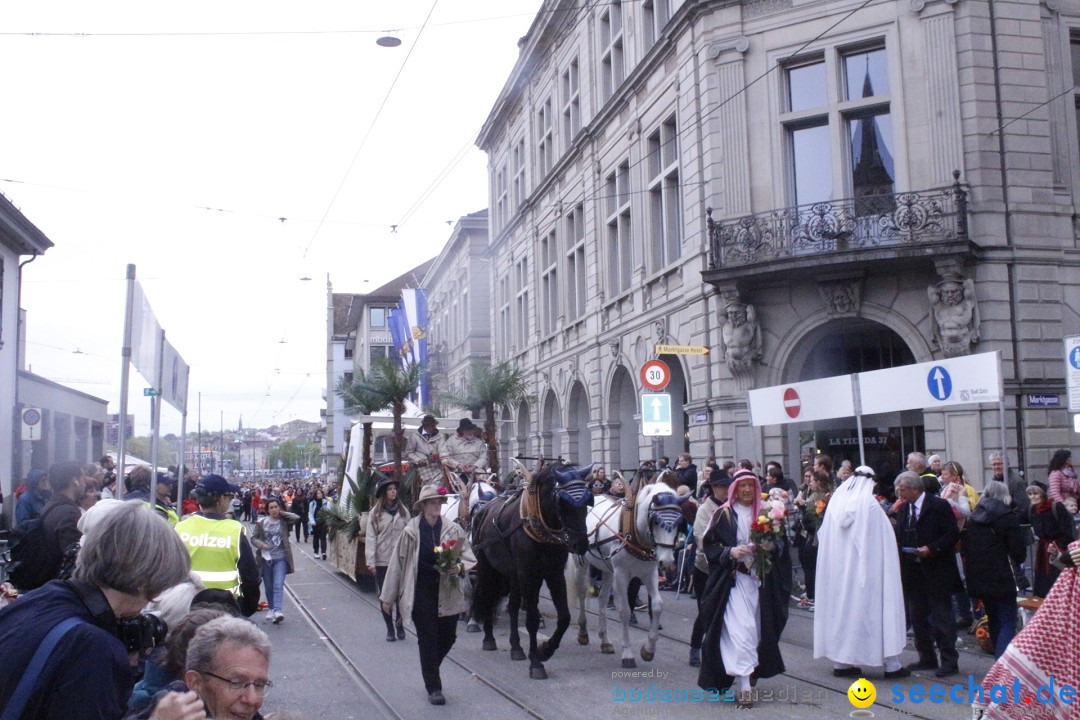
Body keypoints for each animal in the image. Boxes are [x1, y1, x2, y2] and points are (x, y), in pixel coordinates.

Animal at [570, 481, 686, 669]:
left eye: (679, 521)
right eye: (655, 521)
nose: (667, 561)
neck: (636, 535)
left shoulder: (650, 573)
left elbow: (657, 605)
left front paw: (648, 650)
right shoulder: (621, 574)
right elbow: (624, 611)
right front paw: (627, 654)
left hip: (607, 569)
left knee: (602, 599)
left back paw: (605, 640)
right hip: (581, 562)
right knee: (581, 594)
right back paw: (583, 632)